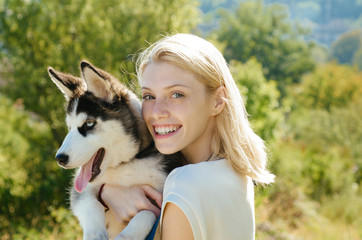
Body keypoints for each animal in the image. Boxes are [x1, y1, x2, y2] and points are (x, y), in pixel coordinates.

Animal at [47, 61, 184, 239]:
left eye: (89, 124)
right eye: (69, 127)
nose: (60, 158)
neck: (127, 163)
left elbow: (146, 213)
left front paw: (127, 236)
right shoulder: (81, 191)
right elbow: (91, 205)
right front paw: (95, 234)